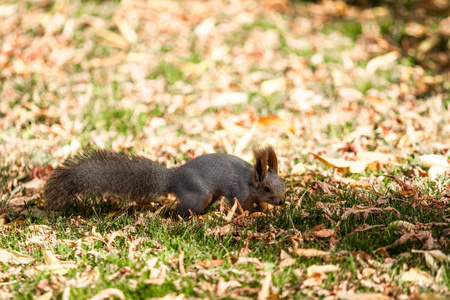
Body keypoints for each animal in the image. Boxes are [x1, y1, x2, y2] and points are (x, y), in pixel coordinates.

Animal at [43, 145, 284, 216]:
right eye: (267, 188)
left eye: (283, 184)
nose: (281, 201)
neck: (250, 182)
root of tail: (173, 177)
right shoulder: (240, 193)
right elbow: (242, 206)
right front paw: (252, 215)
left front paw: (266, 210)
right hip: (199, 193)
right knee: (179, 210)